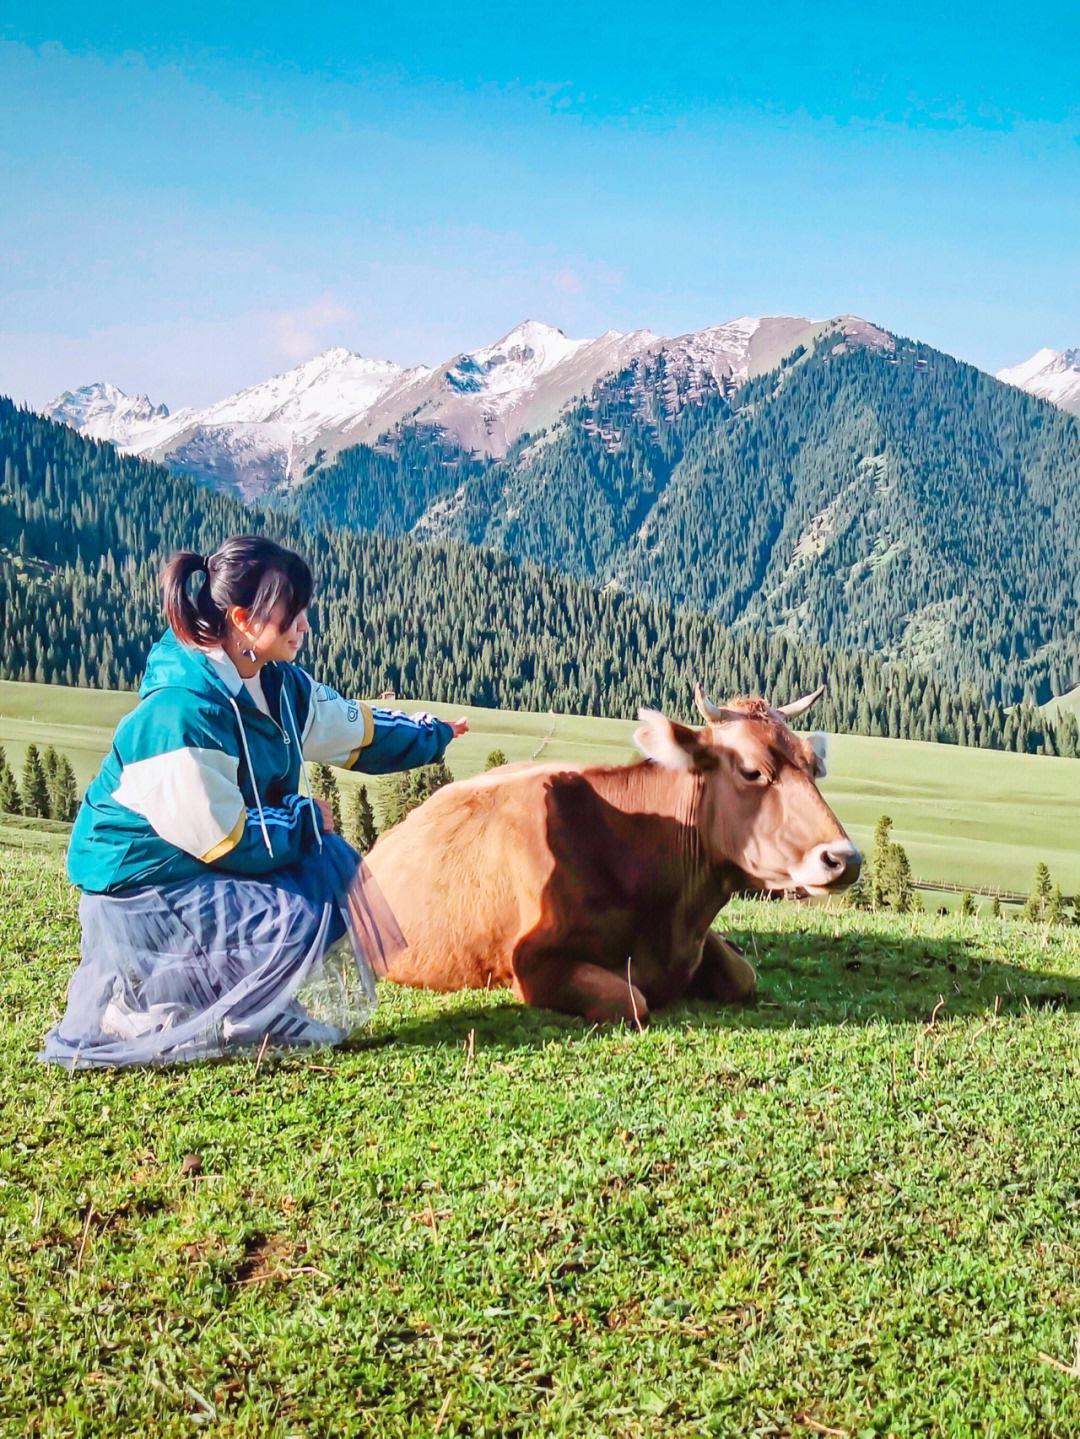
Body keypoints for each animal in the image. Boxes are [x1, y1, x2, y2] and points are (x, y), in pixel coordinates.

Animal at [363, 684, 862, 1024]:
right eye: (752, 771)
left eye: (812, 766)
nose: (845, 858)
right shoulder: (531, 963)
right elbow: (633, 1000)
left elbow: (745, 976)